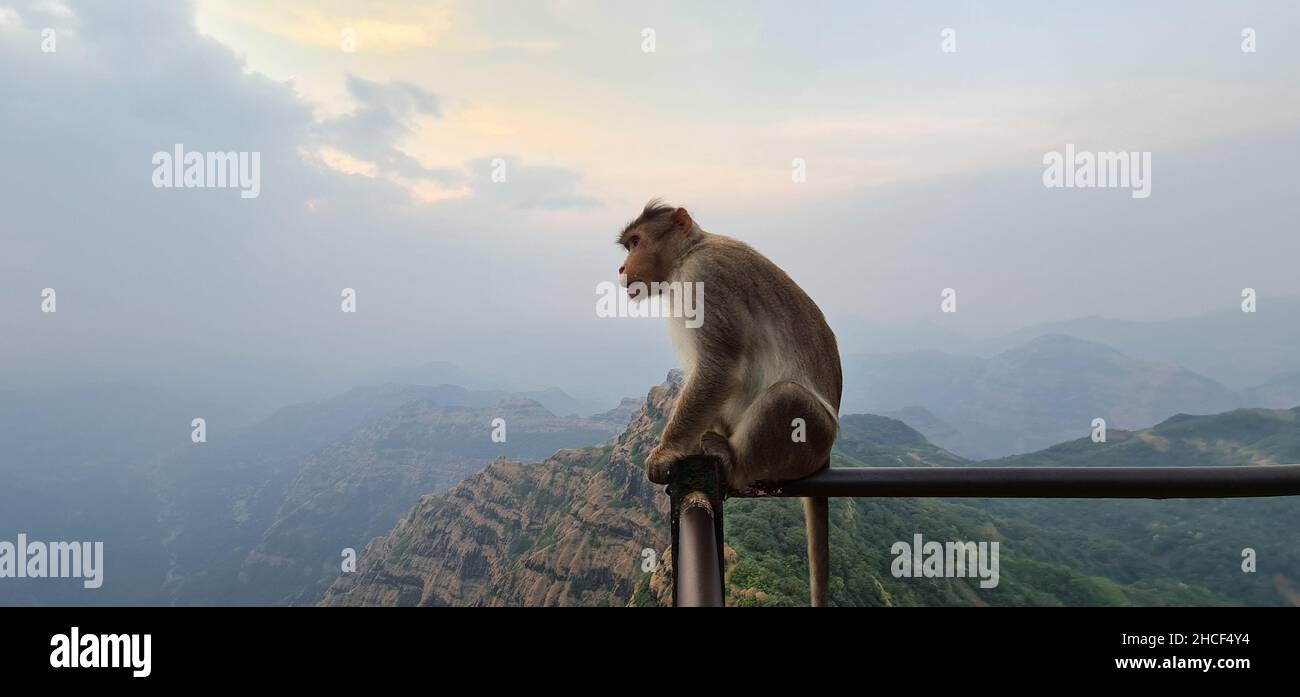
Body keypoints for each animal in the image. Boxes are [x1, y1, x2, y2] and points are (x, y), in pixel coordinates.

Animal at [616, 198, 842, 605]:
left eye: (636, 242)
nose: (622, 268)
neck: (689, 253)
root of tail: (826, 453)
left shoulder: (705, 278)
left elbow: (718, 368)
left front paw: (665, 452)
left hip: (810, 440)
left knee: (786, 398)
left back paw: (733, 463)